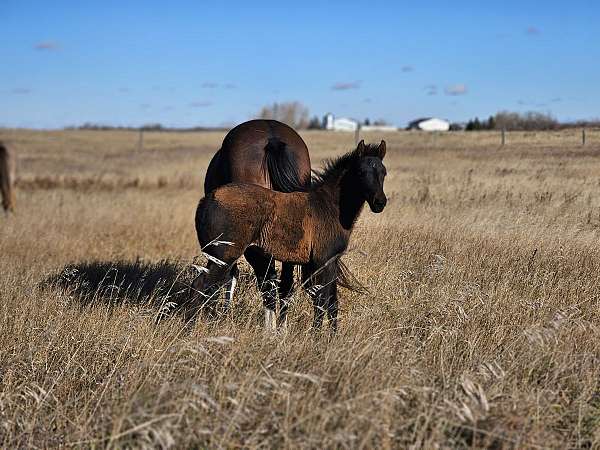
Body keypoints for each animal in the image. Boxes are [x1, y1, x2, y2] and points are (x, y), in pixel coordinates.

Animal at [189, 141, 390, 330]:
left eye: (384, 172)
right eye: (361, 172)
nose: (379, 203)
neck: (328, 206)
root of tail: (206, 200)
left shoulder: (330, 261)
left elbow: (332, 302)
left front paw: (332, 337)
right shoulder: (321, 261)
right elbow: (321, 300)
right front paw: (317, 336)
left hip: (217, 256)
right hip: (224, 255)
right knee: (201, 285)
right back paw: (190, 328)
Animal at [203, 118, 312, 326]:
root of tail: (272, 138)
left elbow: (230, 275)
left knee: (266, 280)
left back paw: (269, 329)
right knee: (285, 283)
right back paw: (281, 328)